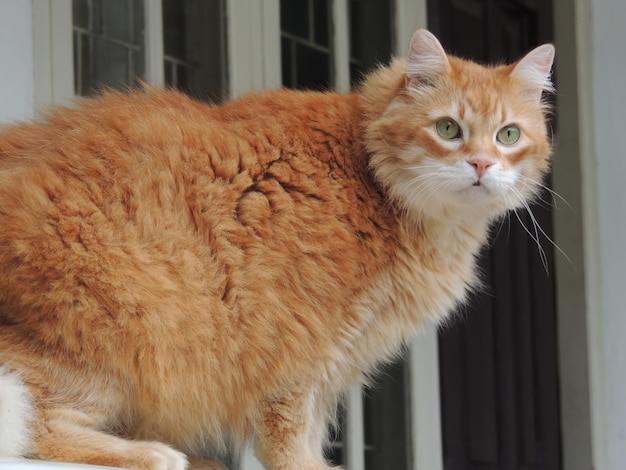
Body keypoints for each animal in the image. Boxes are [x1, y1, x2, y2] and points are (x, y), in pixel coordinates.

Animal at [0, 30, 552, 470]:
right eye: (448, 129)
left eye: (507, 135)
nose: (481, 165)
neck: (374, 182)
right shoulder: (300, 343)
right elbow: (289, 432)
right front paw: (307, 469)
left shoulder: (337, 353)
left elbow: (308, 428)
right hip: (118, 339)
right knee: (35, 426)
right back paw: (156, 454)